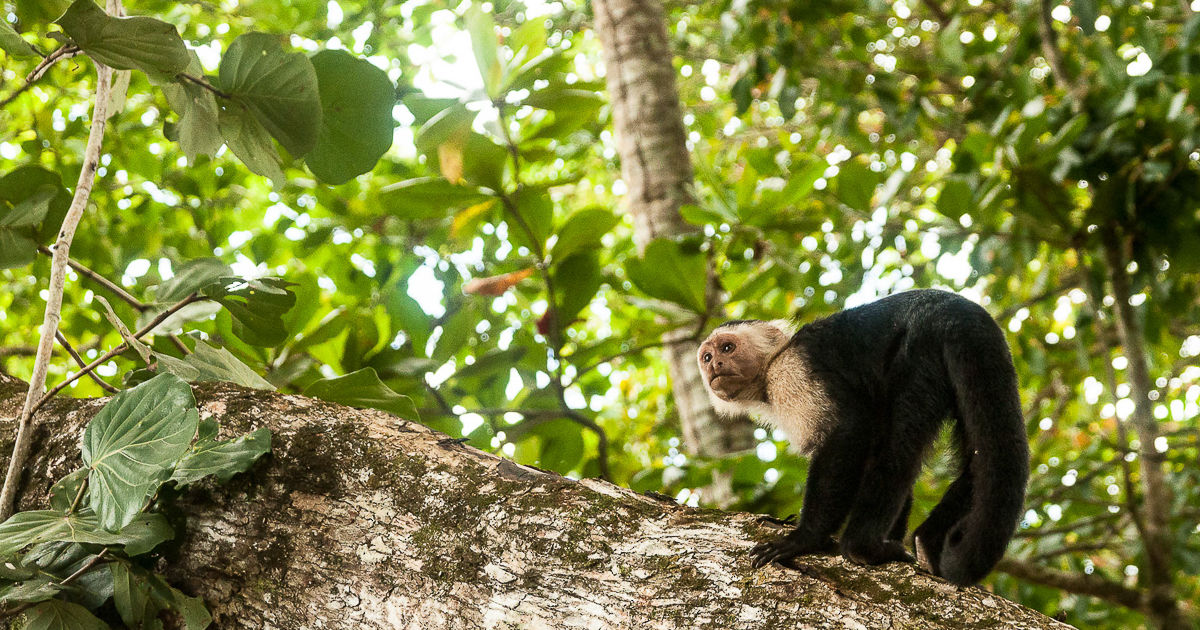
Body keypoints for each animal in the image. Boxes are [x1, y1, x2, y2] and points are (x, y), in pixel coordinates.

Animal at [700, 290, 1027, 585]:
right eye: (706, 356)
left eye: (727, 348)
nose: (714, 365)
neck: (771, 366)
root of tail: (953, 305)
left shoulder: (792, 371)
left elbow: (850, 429)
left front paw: (806, 538)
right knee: (978, 455)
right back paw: (924, 541)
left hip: (922, 346)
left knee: (898, 444)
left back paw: (861, 547)